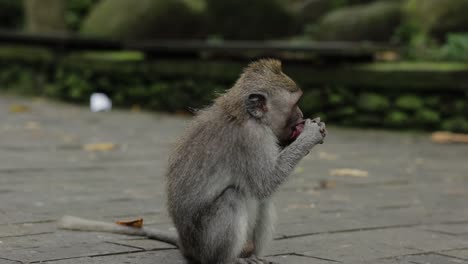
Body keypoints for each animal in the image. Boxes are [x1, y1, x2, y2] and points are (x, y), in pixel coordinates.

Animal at [58, 58, 328, 262]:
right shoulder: (252, 138)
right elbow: (265, 183)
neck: (243, 114)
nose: (302, 116)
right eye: (295, 104)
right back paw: (229, 260)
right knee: (235, 196)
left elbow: (265, 187)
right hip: (205, 243)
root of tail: (186, 245)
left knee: (263, 200)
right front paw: (310, 135)